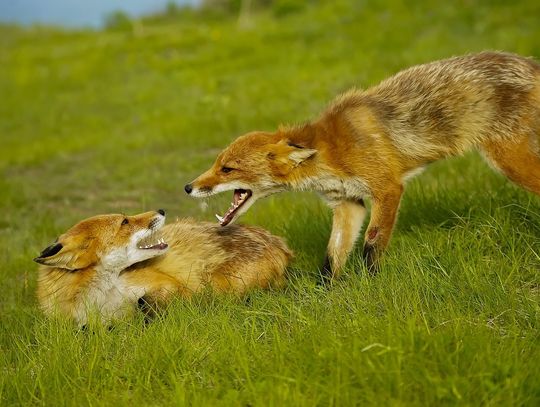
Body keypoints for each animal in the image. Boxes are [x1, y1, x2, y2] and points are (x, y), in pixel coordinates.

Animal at [34, 210, 292, 326]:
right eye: (125, 222)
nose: (161, 210)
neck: (104, 300)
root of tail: (279, 243)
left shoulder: (167, 284)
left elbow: (148, 302)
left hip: (224, 284)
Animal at [187, 51, 540, 280]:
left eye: (227, 169)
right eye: (216, 163)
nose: (189, 187)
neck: (330, 154)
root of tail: (526, 61)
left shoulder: (388, 188)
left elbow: (371, 244)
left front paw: (373, 284)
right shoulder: (348, 203)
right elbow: (332, 258)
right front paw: (325, 296)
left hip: (511, 161)